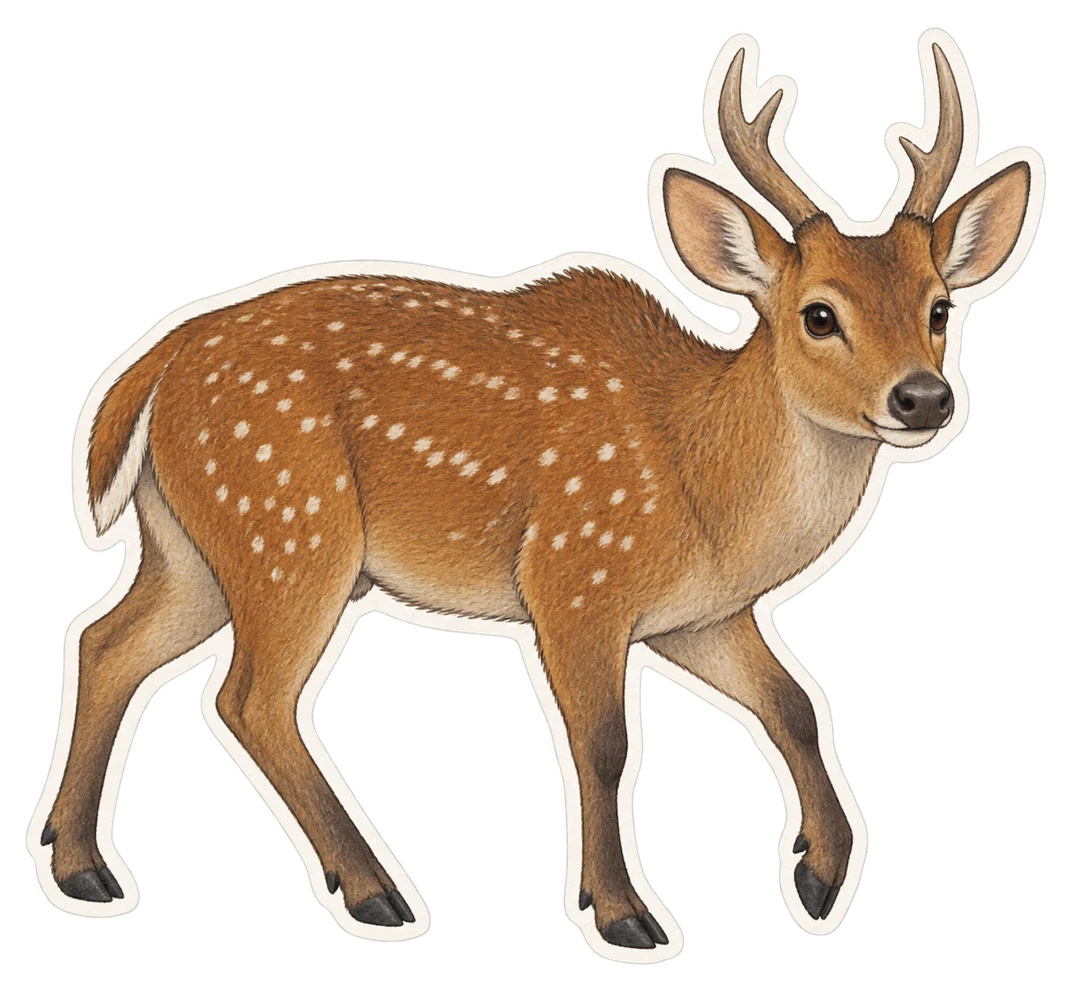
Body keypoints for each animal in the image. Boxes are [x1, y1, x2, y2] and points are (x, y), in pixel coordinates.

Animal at [33, 32, 1037, 953]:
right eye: (819, 313)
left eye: (940, 307)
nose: (923, 397)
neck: (700, 483)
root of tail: (152, 365)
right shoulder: (576, 573)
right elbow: (603, 740)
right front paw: (623, 911)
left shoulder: (703, 612)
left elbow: (793, 701)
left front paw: (820, 875)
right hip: (291, 525)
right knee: (249, 695)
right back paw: (375, 889)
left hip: (197, 542)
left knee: (107, 642)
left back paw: (82, 865)